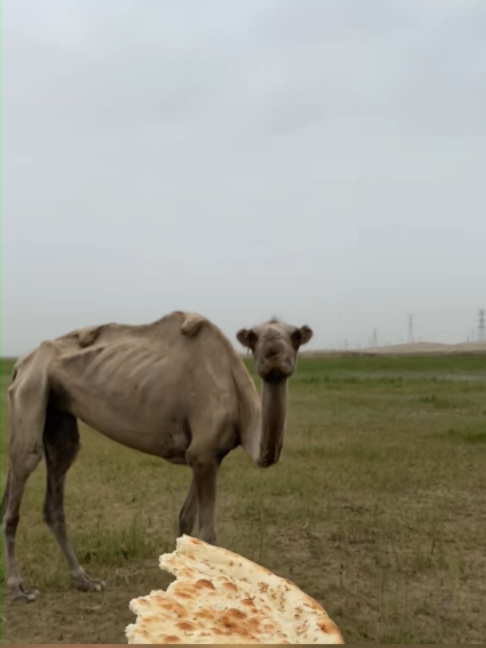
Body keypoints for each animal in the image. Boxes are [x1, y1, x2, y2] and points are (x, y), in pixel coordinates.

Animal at [1, 310, 313, 602]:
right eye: (254, 338)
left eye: (296, 336)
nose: (273, 351)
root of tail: (20, 364)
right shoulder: (204, 454)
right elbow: (208, 534)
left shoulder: (204, 454)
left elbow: (186, 520)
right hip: (31, 390)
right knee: (24, 467)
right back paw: (19, 588)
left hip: (57, 408)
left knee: (58, 477)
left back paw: (84, 580)